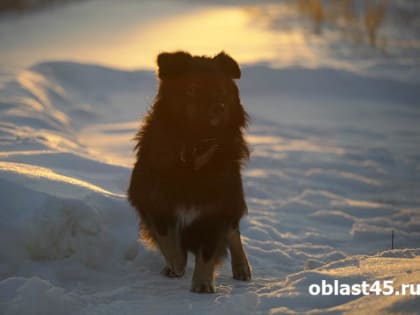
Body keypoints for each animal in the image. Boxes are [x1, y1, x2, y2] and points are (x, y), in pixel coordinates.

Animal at [128, 50, 251, 294]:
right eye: (193, 89)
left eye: (222, 90)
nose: (220, 106)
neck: (193, 148)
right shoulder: (153, 201)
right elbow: (168, 240)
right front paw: (176, 264)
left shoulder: (216, 209)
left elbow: (208, 250)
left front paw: (202, 283)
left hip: (233, 197)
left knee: (234, 232)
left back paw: (242, 266)